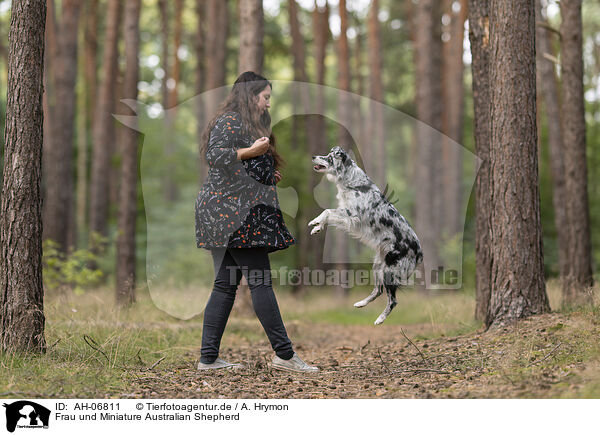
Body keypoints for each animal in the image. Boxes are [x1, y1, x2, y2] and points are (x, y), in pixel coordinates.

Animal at [310, 148, 422, 326]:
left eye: (329, 157)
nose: (314, 156)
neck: (351, 181)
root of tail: (418, 250)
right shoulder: (346, 215)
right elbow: (328, 215)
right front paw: (317, 227)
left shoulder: (352, 215)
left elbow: (327, 211)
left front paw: (316, 221)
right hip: (378, 266)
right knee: (378, 290)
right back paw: (361, 303)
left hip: (390, 271)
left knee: (393, 300)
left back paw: (380, 319)